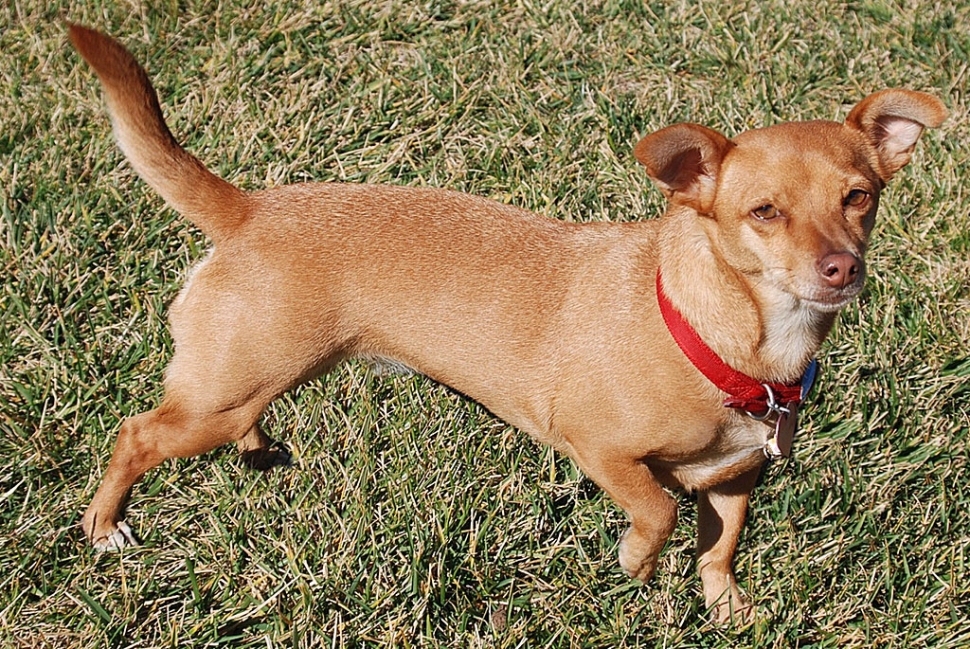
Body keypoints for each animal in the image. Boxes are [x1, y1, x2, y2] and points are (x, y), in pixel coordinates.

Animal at [70, 24, 944, 624]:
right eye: (763, 212)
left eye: (859, 197)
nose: (841, 268)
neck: (733, 339)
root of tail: (250, 209)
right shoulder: (598, 446)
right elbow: (658, 510)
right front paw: (634, 562)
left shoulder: (734, 478)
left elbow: (721, 546)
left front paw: (727, 610)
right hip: (214, 399)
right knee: (138, 433)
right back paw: (105, 526)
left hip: (240, 380)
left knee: (228, 413)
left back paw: (257, 449)